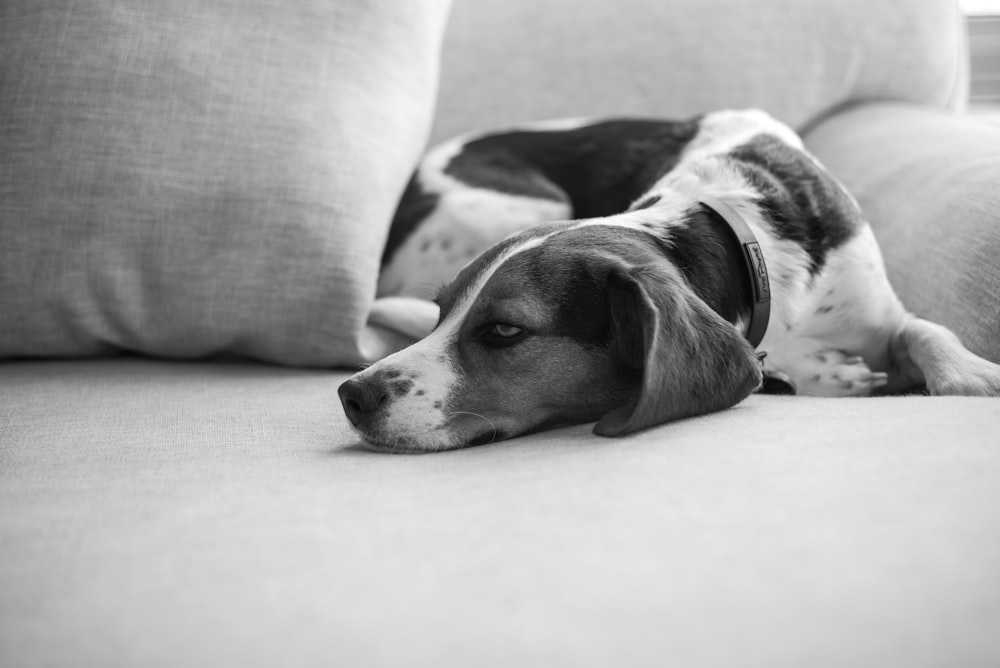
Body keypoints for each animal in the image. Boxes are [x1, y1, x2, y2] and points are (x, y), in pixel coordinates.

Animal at [338, 111, 1000, 454]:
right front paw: (813, 371)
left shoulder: (877, 309)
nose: (351, 394)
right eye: (441, 311)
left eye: (504, 330)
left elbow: (925, 329)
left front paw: (971, 373)